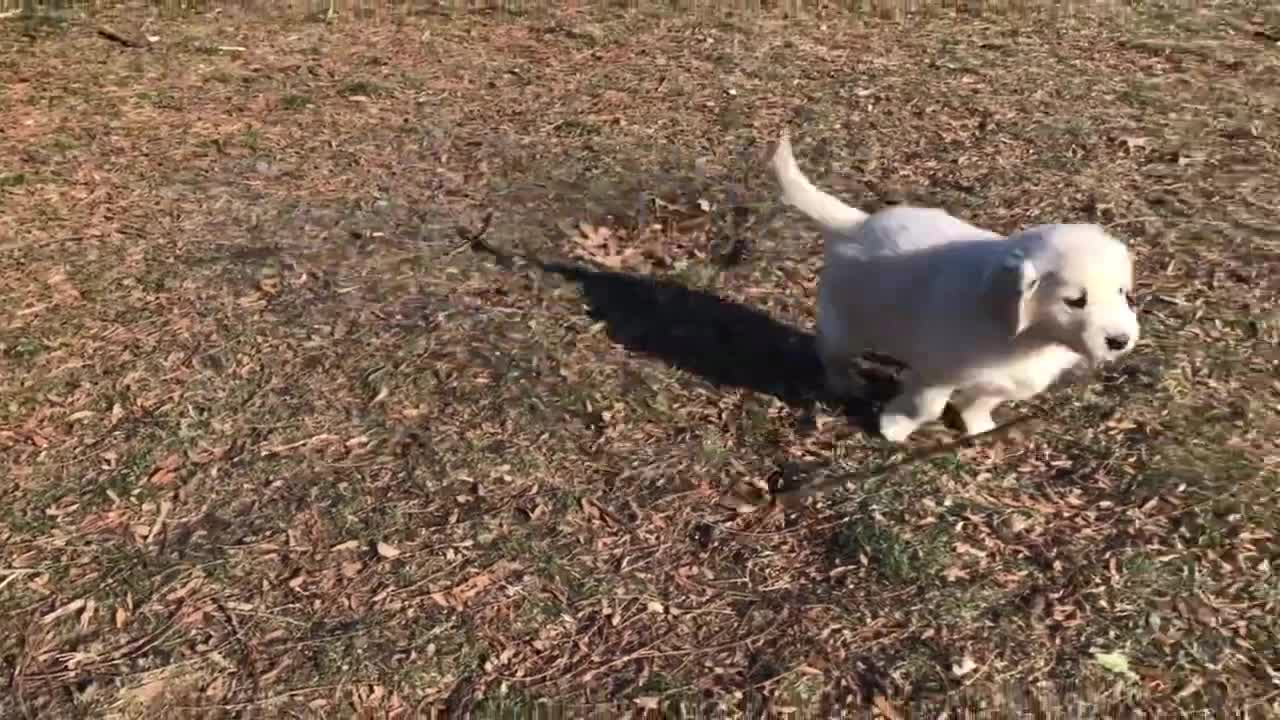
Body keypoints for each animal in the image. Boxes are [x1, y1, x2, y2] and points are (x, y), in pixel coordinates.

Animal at [768, 131, 1141, 440]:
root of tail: (856, 224)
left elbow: (983, 401)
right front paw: (895, 426)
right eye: (1075, 301)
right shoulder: (937, 372)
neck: (1026, 337)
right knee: (832, 355)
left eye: (1122, 293)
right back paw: (846, 384)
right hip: (848, 323)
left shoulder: (1005, 380)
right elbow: (926, 407)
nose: (1120, 342)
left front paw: (978, 427)